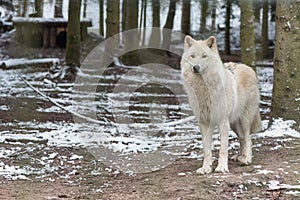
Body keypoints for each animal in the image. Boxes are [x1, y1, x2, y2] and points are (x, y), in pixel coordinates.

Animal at [180, 36, 260, 174]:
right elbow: (206, 149)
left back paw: (246, 159)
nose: (195, 67)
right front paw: (206, 168)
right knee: (242, 138)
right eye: (192, 56)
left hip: (244, 120)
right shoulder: (204, 123)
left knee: (248, 138)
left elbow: (223, 149)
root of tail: (247, 67)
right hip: (234, 123)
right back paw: (240, 156)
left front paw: (221, 168)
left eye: (204, 56)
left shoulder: (223, 122)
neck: (204, 89)